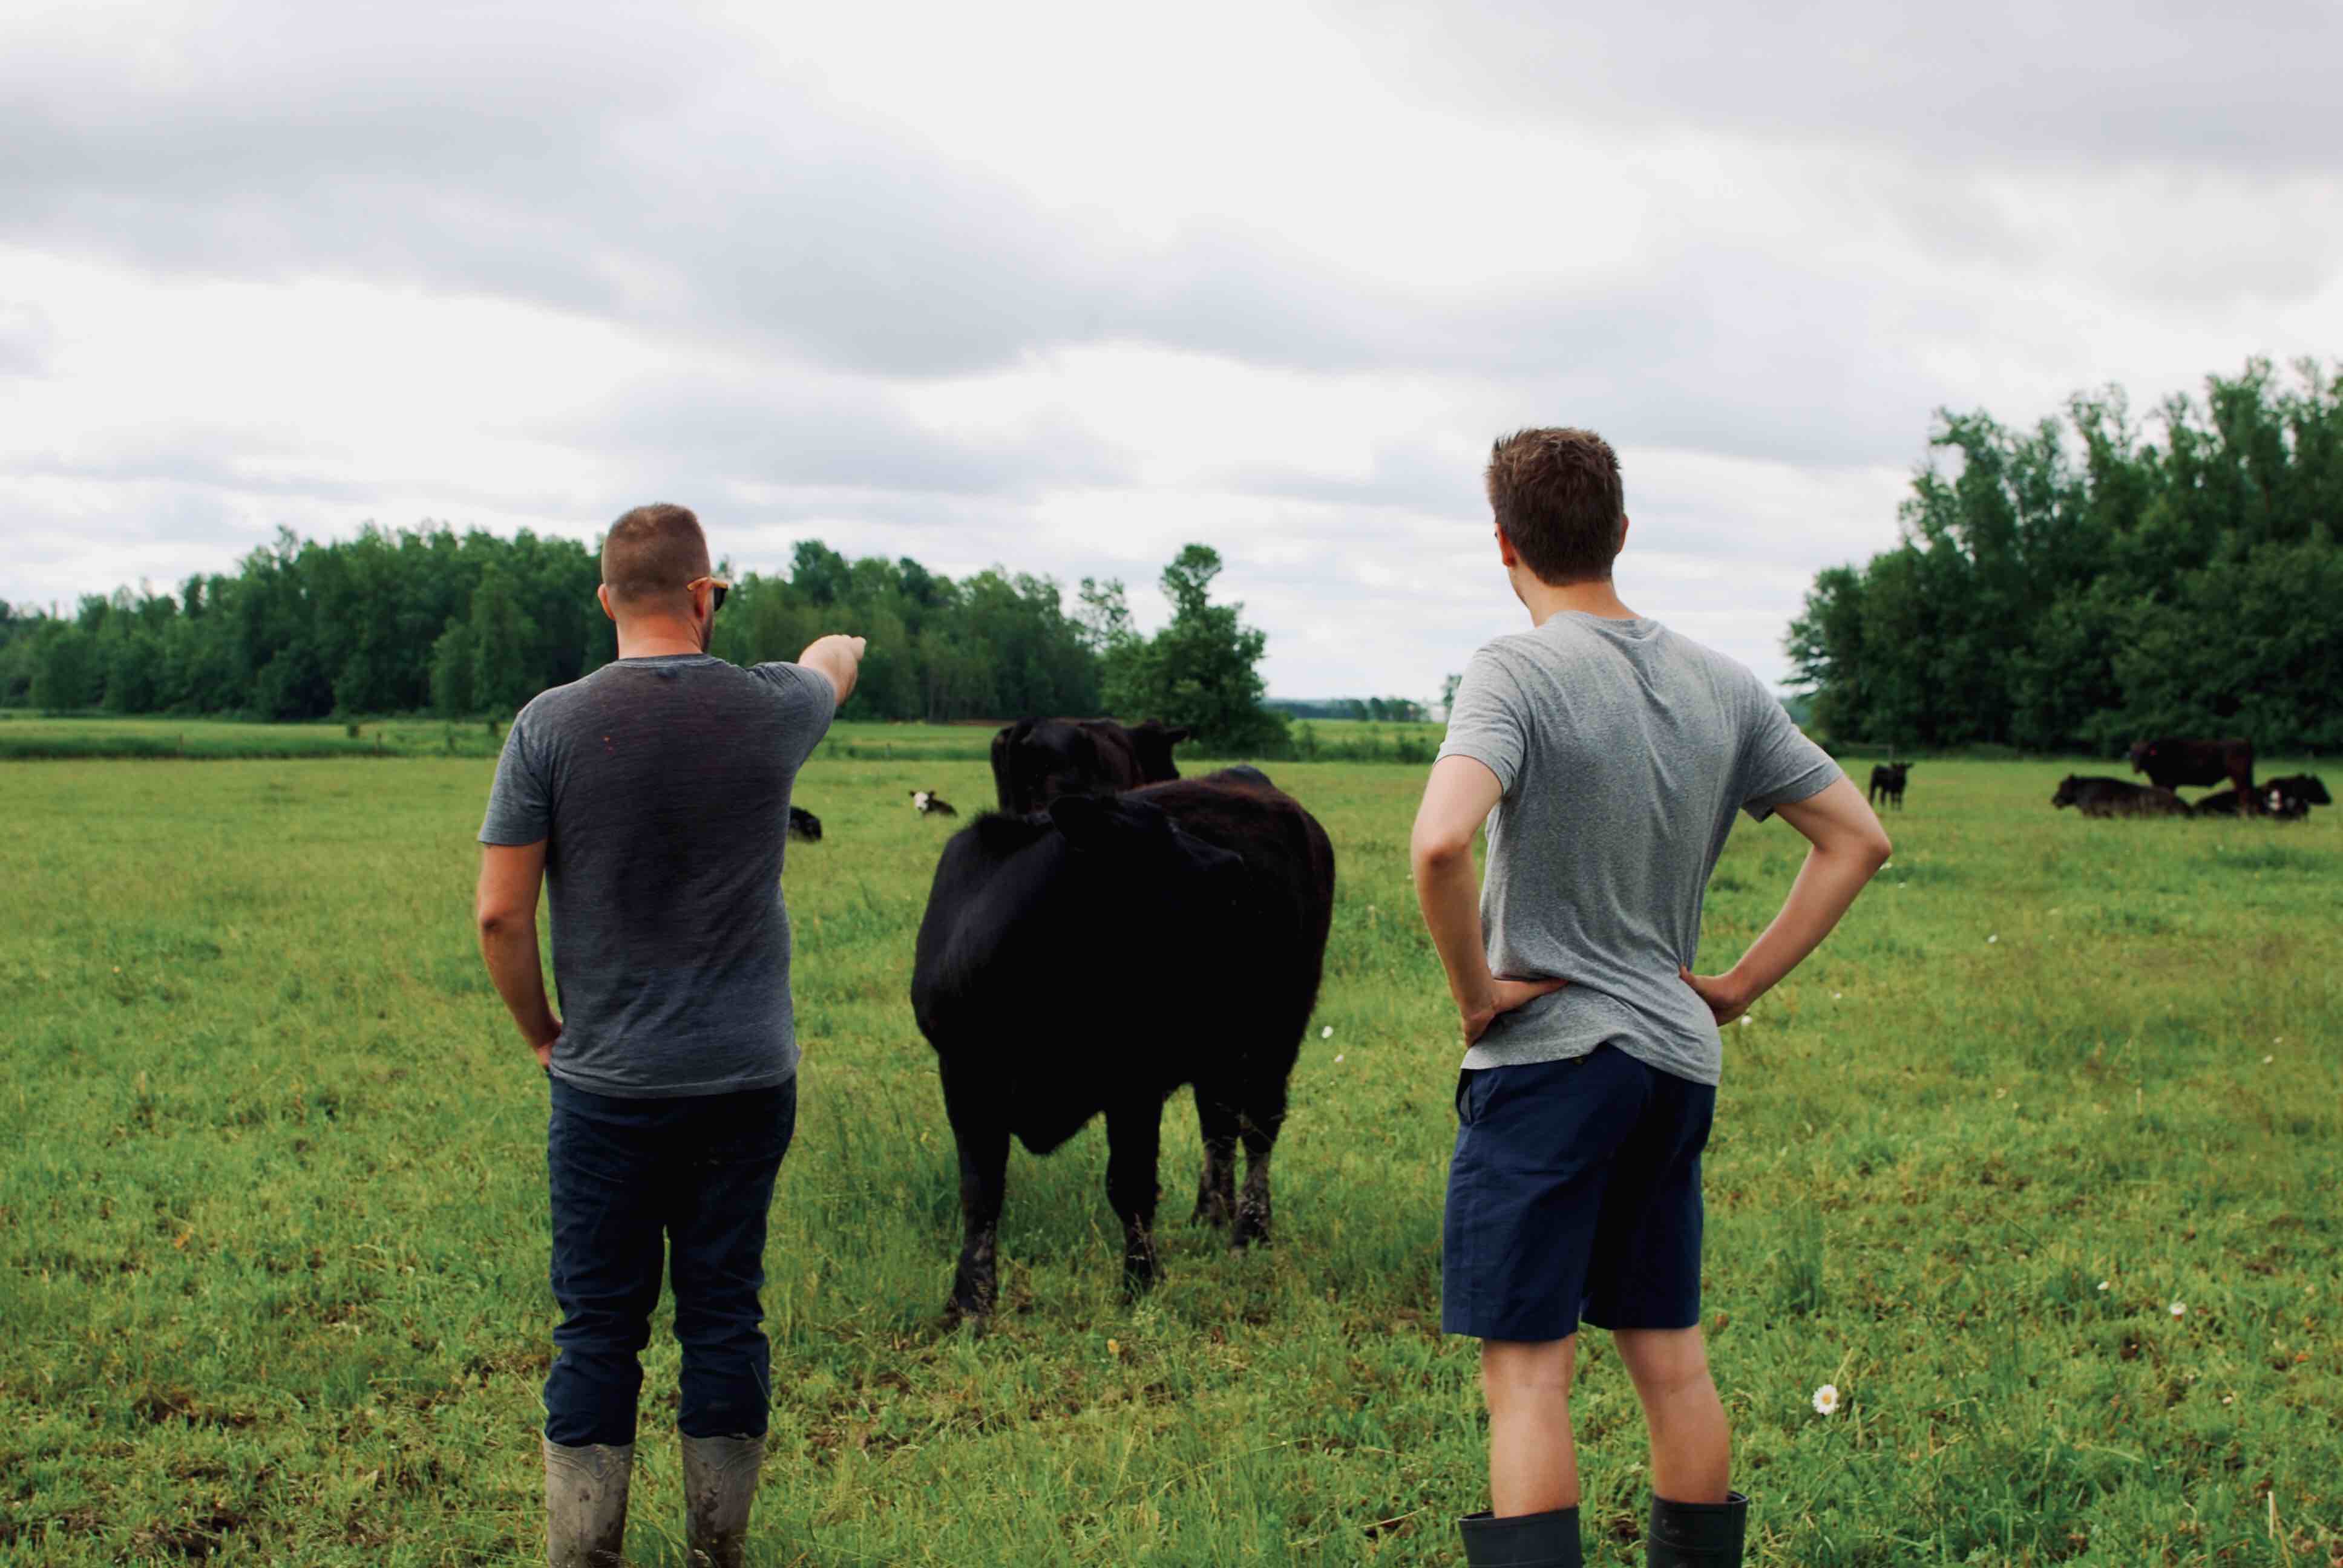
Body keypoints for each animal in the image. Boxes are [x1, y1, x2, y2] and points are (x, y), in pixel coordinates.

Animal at [904, 768, 1331, 1322]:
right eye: (1159, 834)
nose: (1233, 864)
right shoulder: (965, 1077)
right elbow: (981, 1192)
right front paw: (971, 1300)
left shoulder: (1134, 1083)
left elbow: (1129, 1185)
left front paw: (1141, 1280)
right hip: (1218, 1044)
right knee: (1218, 1124)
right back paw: (1210, 1214)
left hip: (1278, 1025)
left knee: (1259, 1127)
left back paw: (1249, 1231)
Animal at [2127, 736, 2249, 806]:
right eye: (2133, 754)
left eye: (2144, 753)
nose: (2135, 769)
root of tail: (2244, 741)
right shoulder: (2158, 782)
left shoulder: (2169, 783)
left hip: (2239, 777)